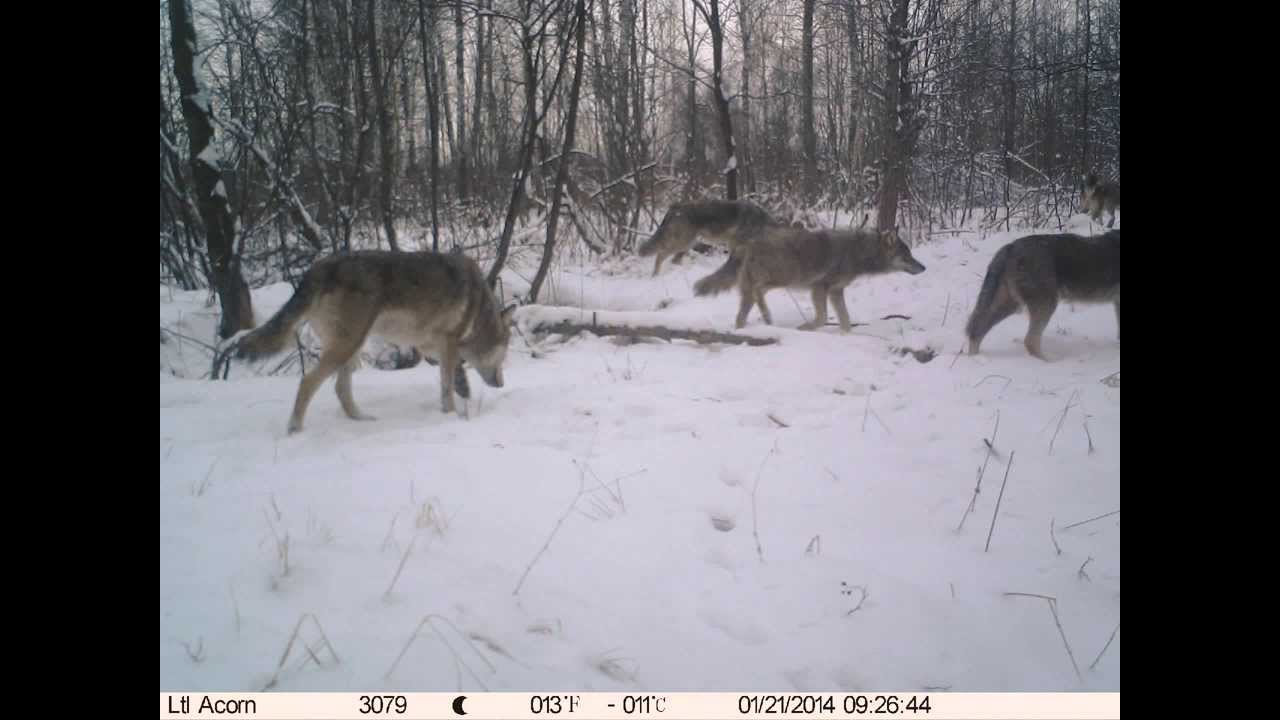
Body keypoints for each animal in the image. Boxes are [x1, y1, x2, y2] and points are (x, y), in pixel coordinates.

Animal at [232, 249, 512, 430]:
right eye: (504, 358)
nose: (501, 384)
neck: (480, 311)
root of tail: (319, 268)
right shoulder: (449, 343)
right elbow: (447, 387)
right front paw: (452, 416)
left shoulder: (432, 348)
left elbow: (454, 377)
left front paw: (463, 398)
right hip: (347, 346)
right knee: (308, 382)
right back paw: (295, 429)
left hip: (352, 347)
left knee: (340, 388)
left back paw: (362, 420)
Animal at [637, 198, 783, 278]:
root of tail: (675, 206)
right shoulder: (735, 244)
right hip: (682, 243)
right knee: (660, 255)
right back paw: (655, 276)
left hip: (687, 244)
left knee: (673, 260)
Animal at [696, 224, 926, 330]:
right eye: (907, 256)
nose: (923, 267)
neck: (857, 253)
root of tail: (746, 242)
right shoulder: (820, 288)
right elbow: (822, 319)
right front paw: (804, 328)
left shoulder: (835, 292)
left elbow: (845, 322)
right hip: (782, 278)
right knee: (751, 300)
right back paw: (762, 321)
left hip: (772, 283)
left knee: (751, 303)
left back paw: (763, 321)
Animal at [962, 229, 1116, 358]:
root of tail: (1010, 247)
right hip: (1046, 304)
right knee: (1030, 341)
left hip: (1009, 305)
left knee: (977, 330)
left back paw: (974, 358)